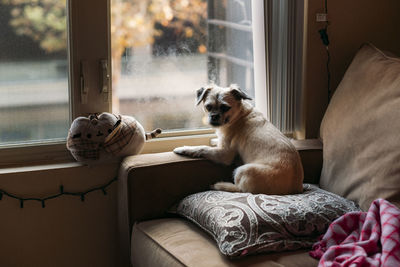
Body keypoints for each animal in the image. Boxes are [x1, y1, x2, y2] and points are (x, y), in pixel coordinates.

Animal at [173, 85, 304, 196]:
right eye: (208, 107)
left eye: (225, 108)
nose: (214, 116)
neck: (239, 116)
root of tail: (295, 189)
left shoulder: (224, 154)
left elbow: (202, 148)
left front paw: (184, 149)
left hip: (243, 170)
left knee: (241, 189)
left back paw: (221, 185)